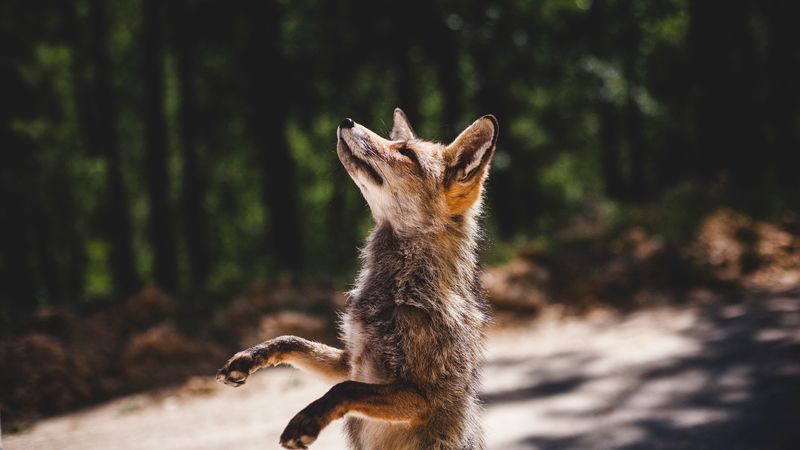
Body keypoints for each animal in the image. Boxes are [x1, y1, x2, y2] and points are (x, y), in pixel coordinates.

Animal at [217, 108, 498, 450]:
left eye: (406, 153)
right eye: (397, 143)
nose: (346, 121)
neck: (401, 292)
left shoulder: (421, 397)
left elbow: (344, 389)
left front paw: (307, 421)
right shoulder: (350, 362)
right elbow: (293, 340)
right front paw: (250, 357)